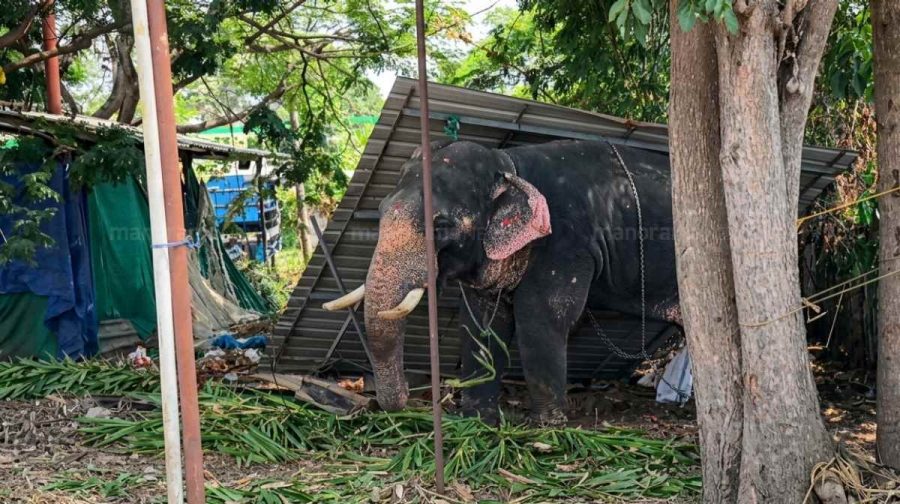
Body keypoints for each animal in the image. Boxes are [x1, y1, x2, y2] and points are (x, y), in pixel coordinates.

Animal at [323, 139, 681, 424]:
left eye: (442, 225)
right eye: (381, 211)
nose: (405, 400)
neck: (509, 166)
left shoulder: (565, 242)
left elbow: (540, 316)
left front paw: (547, 426)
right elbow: (482, 323)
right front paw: (478, 420)